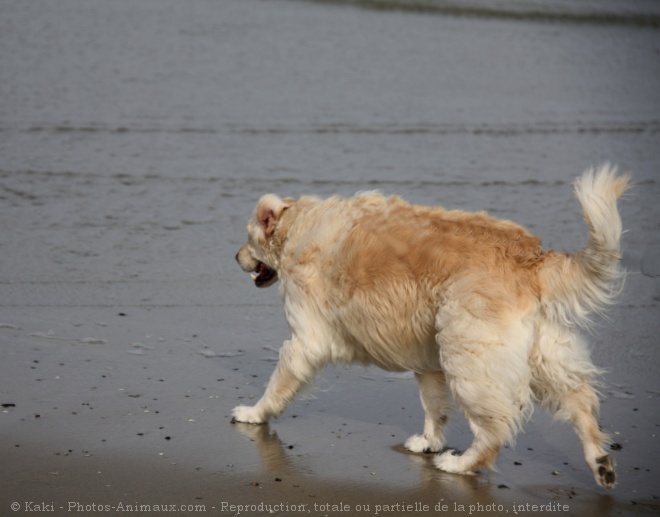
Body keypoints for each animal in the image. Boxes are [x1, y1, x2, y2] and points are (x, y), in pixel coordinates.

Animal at [232, 164, 628, 488]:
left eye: (248, 238)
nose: (234, 256)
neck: (296, 225)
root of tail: (531, 257)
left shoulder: (306, 339)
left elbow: (277, 386)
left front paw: (253, 413)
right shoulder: (427, 361)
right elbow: (434, 405)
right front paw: (428, 441)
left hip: (469, 358)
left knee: (495, 429)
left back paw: (459, 464)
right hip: (540, 354)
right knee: (579, 399)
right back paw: (599, 460)